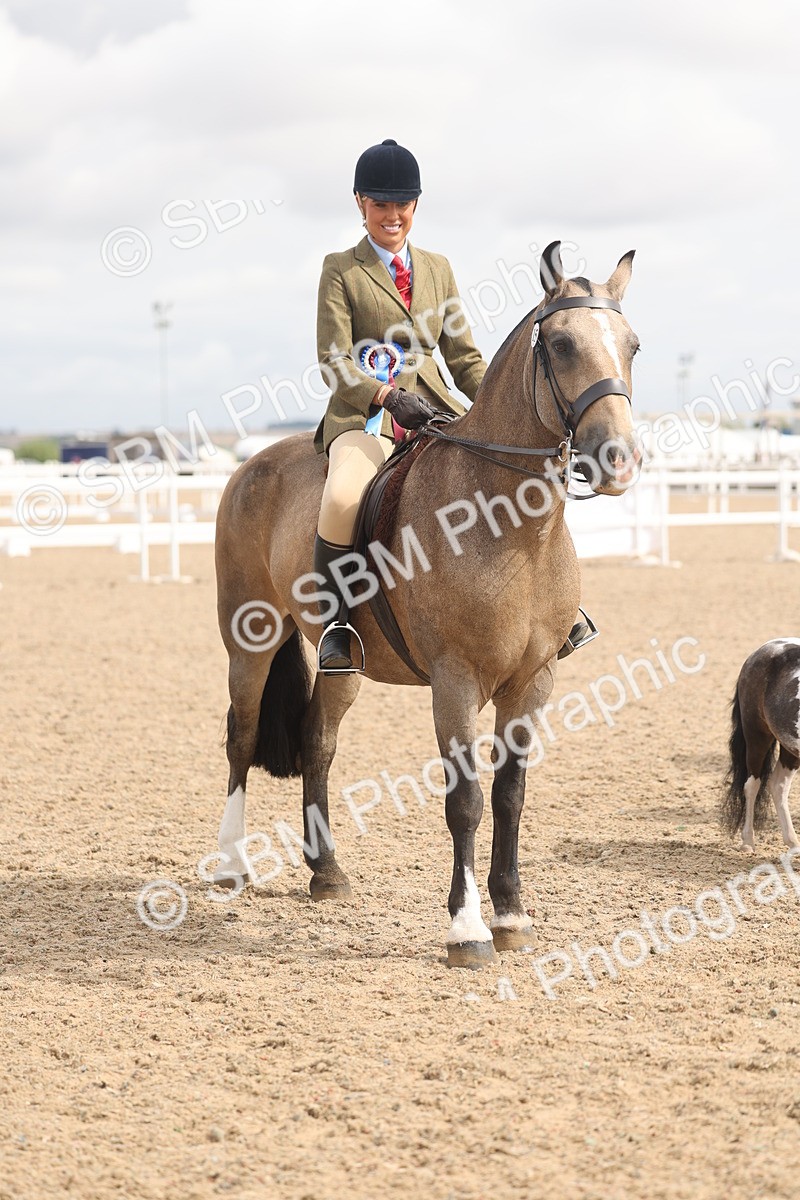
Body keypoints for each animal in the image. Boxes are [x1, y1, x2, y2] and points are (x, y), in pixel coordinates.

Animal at [214, 240, 640, 968]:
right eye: (559, 344)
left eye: (633, 345)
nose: (619, 459)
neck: (512, 529)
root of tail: (251, 466)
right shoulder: (456, 679)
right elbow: (465, 800)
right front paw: (467, 929)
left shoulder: (533, 680)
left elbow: (509, 794)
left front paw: (512, 915)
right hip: (251, 640)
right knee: (240, 737)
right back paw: (231, 866)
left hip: (342, 663)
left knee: (318, 742)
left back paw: (327, 873)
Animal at [722, 639, 800, 854]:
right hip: (756, 736)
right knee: (752, 786)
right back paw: (748, 842)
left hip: (789, 748)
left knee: (778, 785)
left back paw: (793, 843)